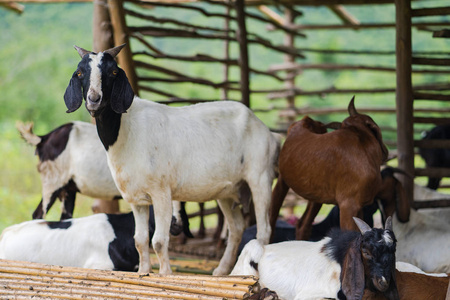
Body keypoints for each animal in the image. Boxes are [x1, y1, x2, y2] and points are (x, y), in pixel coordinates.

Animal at [62, 43, 282, 276]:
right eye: (80, 73)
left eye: (113, 72)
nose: (94, 99)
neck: (127, 130)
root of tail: (268, 132)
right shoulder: (135, 199)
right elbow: (140, 240)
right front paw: (143, 273)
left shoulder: (161, 192)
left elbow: (158, 241)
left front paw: (165, 274)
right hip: (228, 191)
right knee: (237, 228)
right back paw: (222, 271)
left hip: (260, 178)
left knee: (264, 230)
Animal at [268, 97, 388, 240]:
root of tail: (306, 120)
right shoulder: (348, 206)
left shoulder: (359, 207)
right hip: (282, 182)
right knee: (272, 220)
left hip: (316, 196)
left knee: (303, 225)